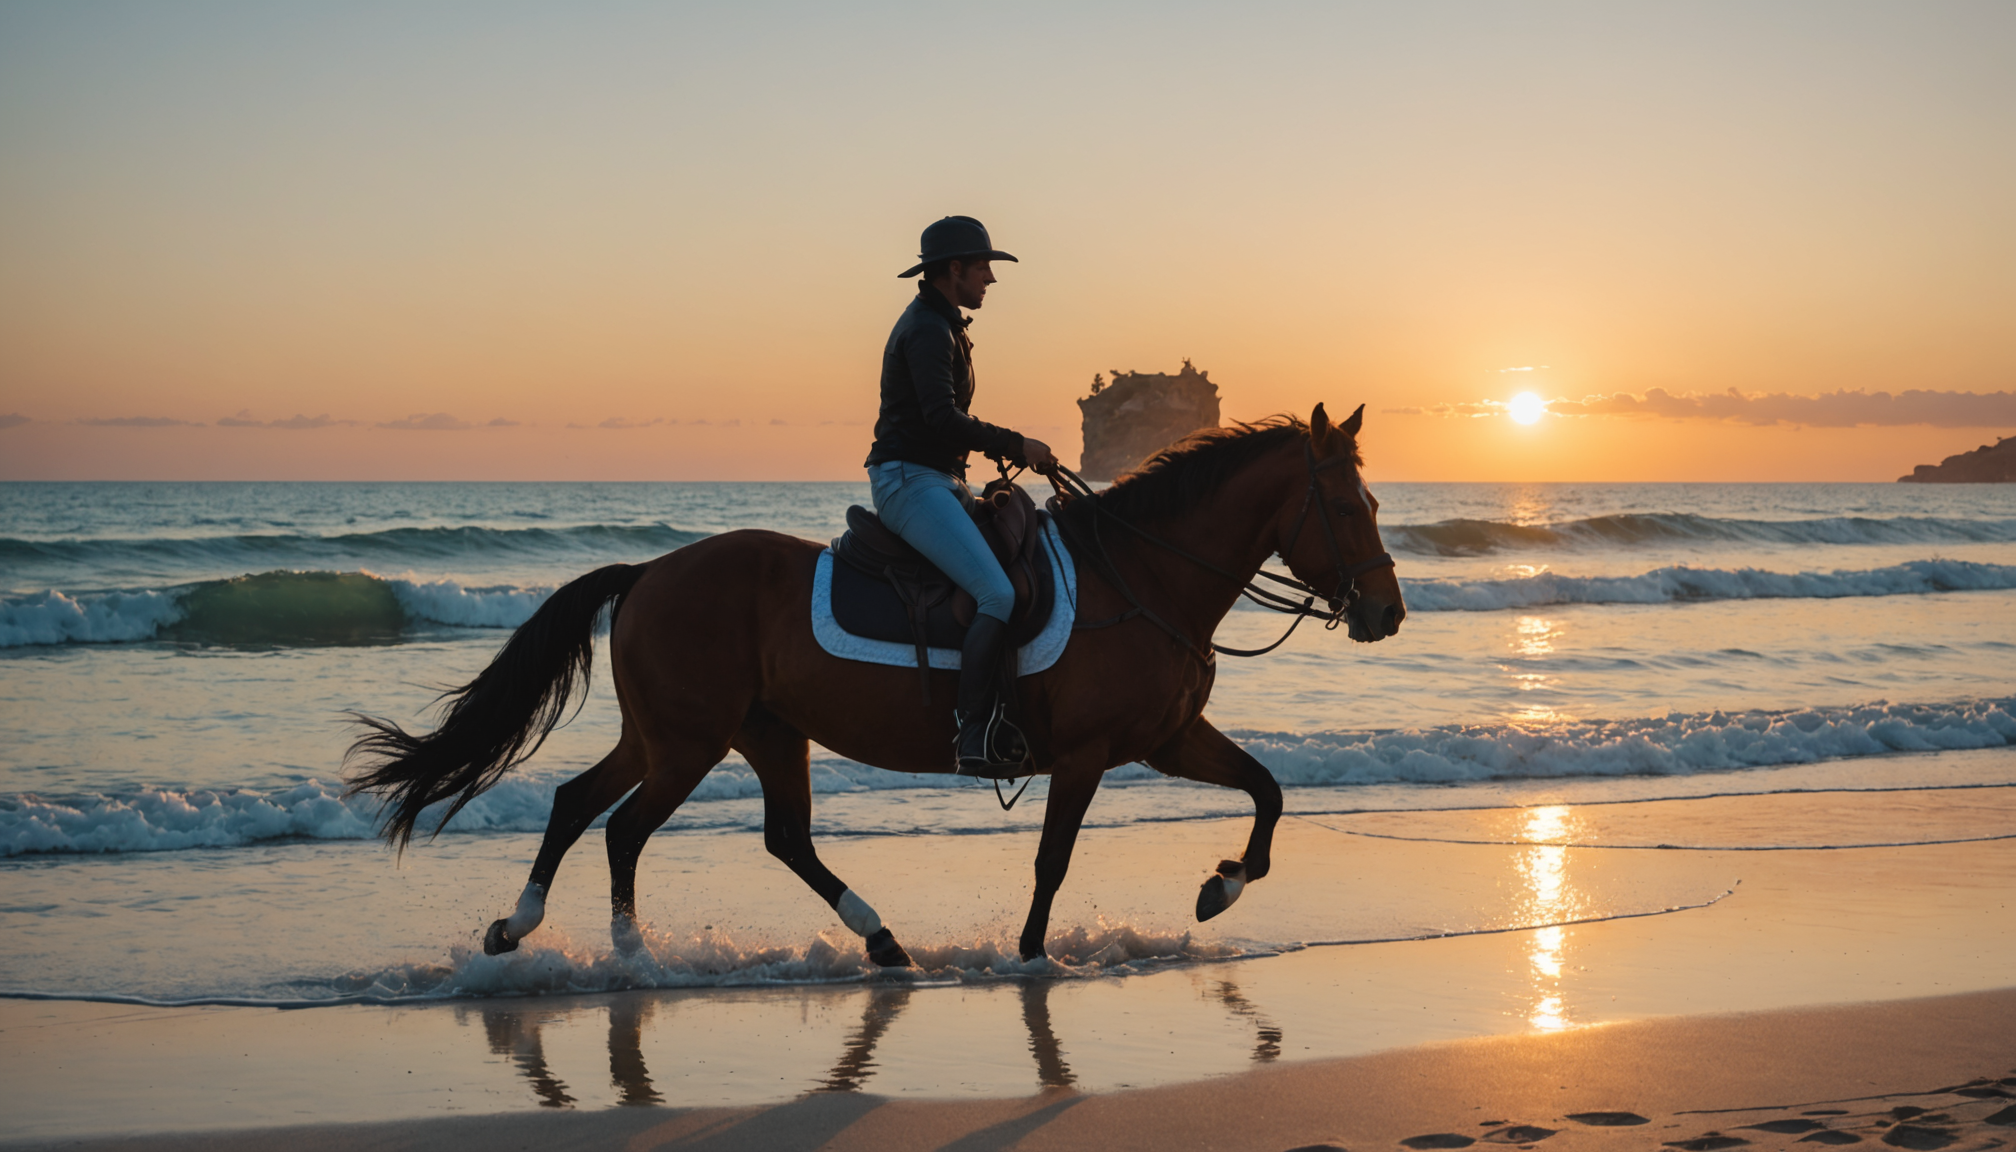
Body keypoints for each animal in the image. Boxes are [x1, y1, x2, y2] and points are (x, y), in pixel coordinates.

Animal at [346, 402, 1406, 965]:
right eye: (1350, 503)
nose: (1387, 612)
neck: (1142, 577)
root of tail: (647, 573)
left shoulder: (1167, 740)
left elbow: (1267, 790)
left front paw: (1220, 888)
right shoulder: (1088, 755)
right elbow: (1052, 860)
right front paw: (1032, 954)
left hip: (736, 733)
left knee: (634, 813)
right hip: (690, 742)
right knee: (623, 827)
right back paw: (631, 955)